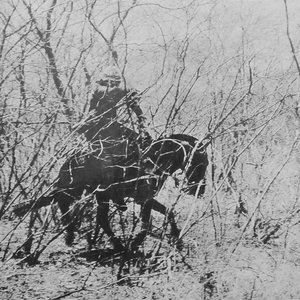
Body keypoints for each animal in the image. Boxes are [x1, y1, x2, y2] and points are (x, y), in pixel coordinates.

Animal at [13, 133, 209, 251]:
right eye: (201, 162)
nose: (200, 191)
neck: (155, 159)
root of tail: (74, 158)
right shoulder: (144, 199)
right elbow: (146, 225)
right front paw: (136, 243)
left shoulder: (145, 199)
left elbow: (168, 212)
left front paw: (177, 238)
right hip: (87, 192)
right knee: (67, 204)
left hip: (94, 194)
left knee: (78, 210)